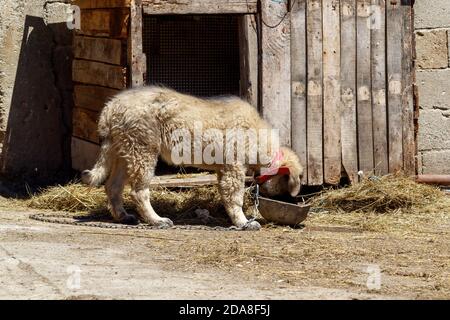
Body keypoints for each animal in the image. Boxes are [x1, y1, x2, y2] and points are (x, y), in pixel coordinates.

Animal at [82, 86, 304, 229]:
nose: (292, 200)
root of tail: (111, 107)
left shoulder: (223, 169)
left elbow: (226, 196)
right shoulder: (233, 167)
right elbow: (235, 197)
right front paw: (243, 222)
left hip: (123, 150)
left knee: (113, 186)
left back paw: (123, 216)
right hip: (142, 150)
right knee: (138, 192)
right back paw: (157, 220)